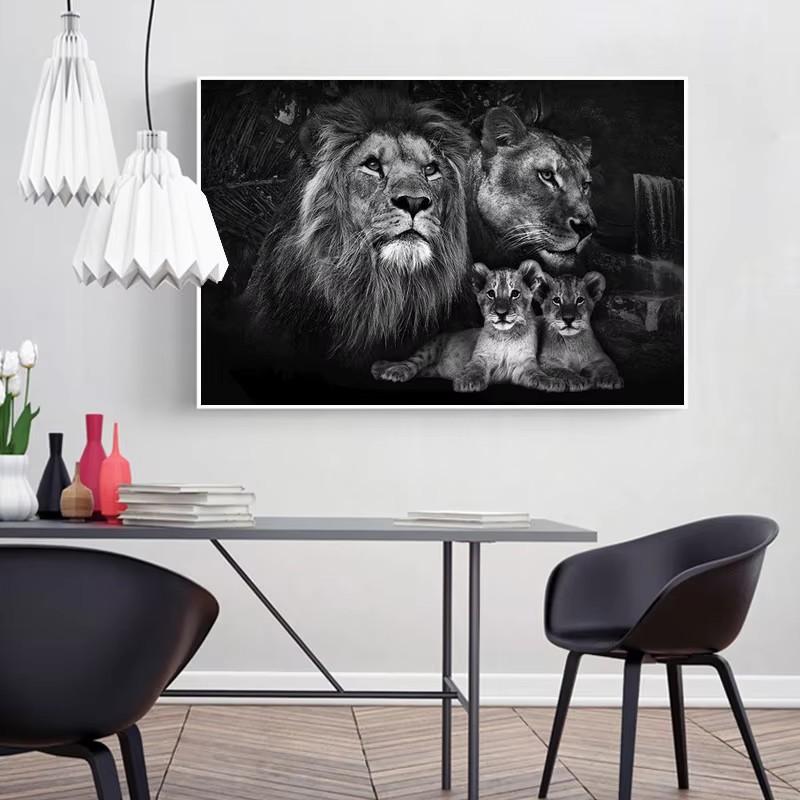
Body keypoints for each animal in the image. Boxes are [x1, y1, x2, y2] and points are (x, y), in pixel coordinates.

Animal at [371, 261, 564, 393]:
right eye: (491, 293)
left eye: (515, 293)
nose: (501, 313)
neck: (506, 335)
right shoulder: (480, 357)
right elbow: (475, 369)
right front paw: (467, 382)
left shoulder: (524, 364)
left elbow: (536, 374)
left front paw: (552, 382)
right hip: (430, 348)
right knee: (410, 362)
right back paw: (390, 370)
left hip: (431, 369)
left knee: (421, 370)